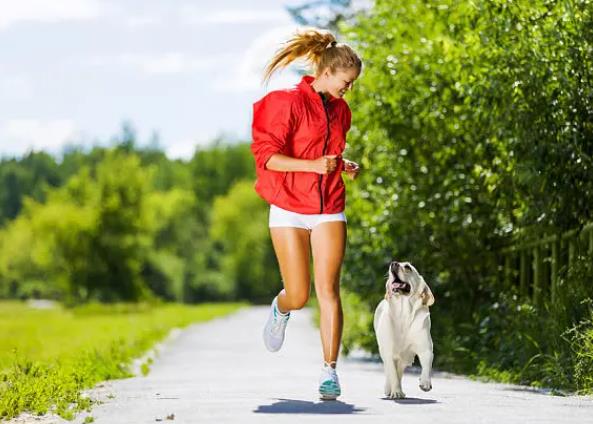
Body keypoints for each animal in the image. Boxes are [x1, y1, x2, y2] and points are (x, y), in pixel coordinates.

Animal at [372, 260, 432, 400]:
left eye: (407, 267)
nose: (393, 263)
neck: (404, 313)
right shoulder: (389, 352)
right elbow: (392, 374)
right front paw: (396, 392)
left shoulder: (425, 348)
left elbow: (427, 364)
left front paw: (425, 382)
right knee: (390, 371)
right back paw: (390, 389)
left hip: (406, 358)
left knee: (399, 370)